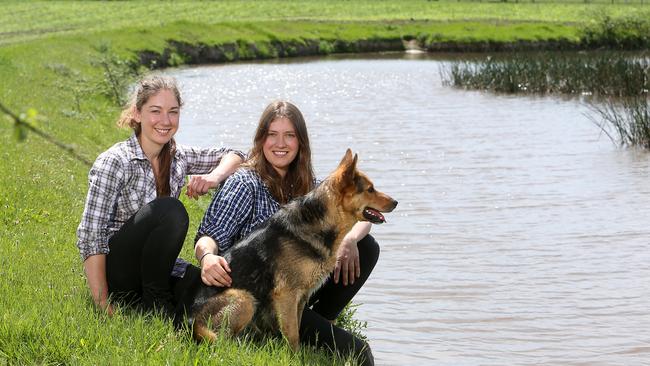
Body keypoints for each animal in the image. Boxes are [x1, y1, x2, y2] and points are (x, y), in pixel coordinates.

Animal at [190, 149, 398, 352]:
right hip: (244, 298)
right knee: (223, 340)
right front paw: (293, 357)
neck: (322, 222)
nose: (396, 202)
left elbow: (295, 328)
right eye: (370, 189)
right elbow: (292, 334)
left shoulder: (300, 298)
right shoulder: (287, 295)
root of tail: (193, 324)